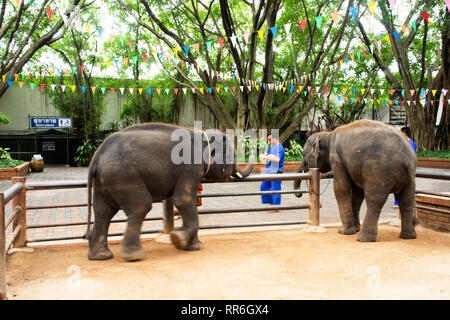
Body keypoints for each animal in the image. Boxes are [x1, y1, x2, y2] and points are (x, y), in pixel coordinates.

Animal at [84, 122, 253, 260]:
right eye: (231, 155)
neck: (202, 134)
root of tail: (97, 157)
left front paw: (192, 246)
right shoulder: (190, 167)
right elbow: (183, 199)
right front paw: (179, 239)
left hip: (105, 182)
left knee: (103, 212)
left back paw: (100, 256)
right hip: (124, 176)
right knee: (140, 206)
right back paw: (134, 256)